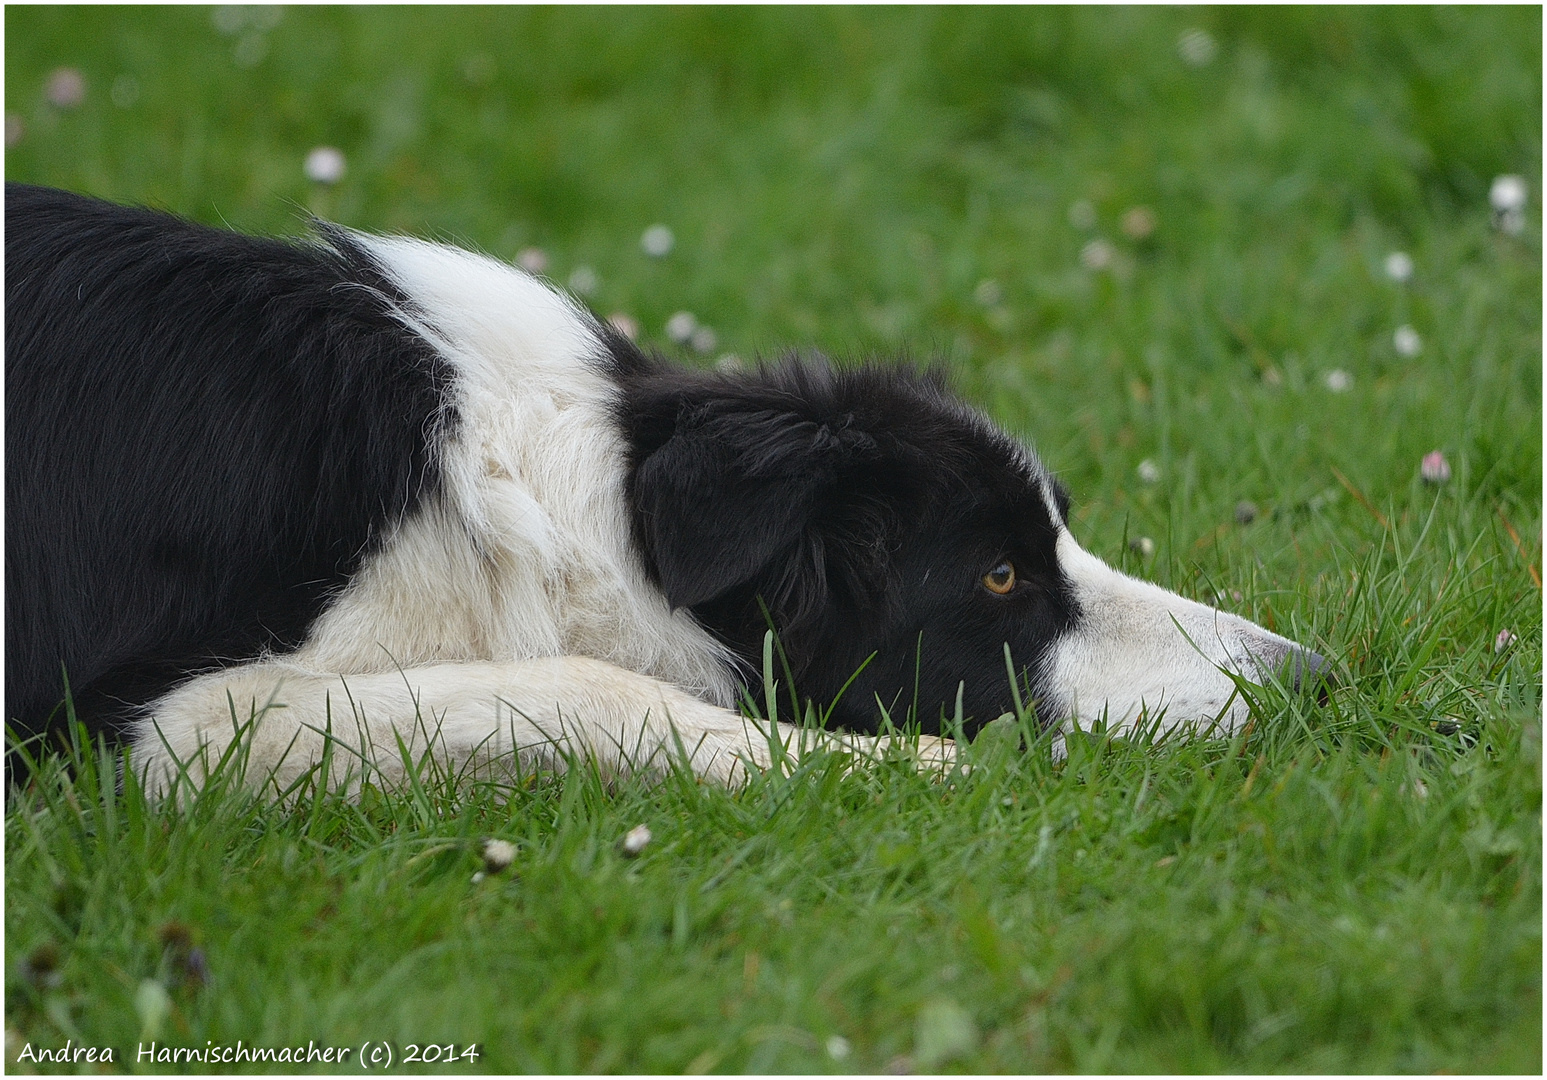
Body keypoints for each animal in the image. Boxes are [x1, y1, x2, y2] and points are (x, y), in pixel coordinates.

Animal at [3, 183, 1330, 792]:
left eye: (1060, 537)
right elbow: (587, 683)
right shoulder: (169, 727)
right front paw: (911, 768)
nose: (1313, 680)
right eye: (999, 575)